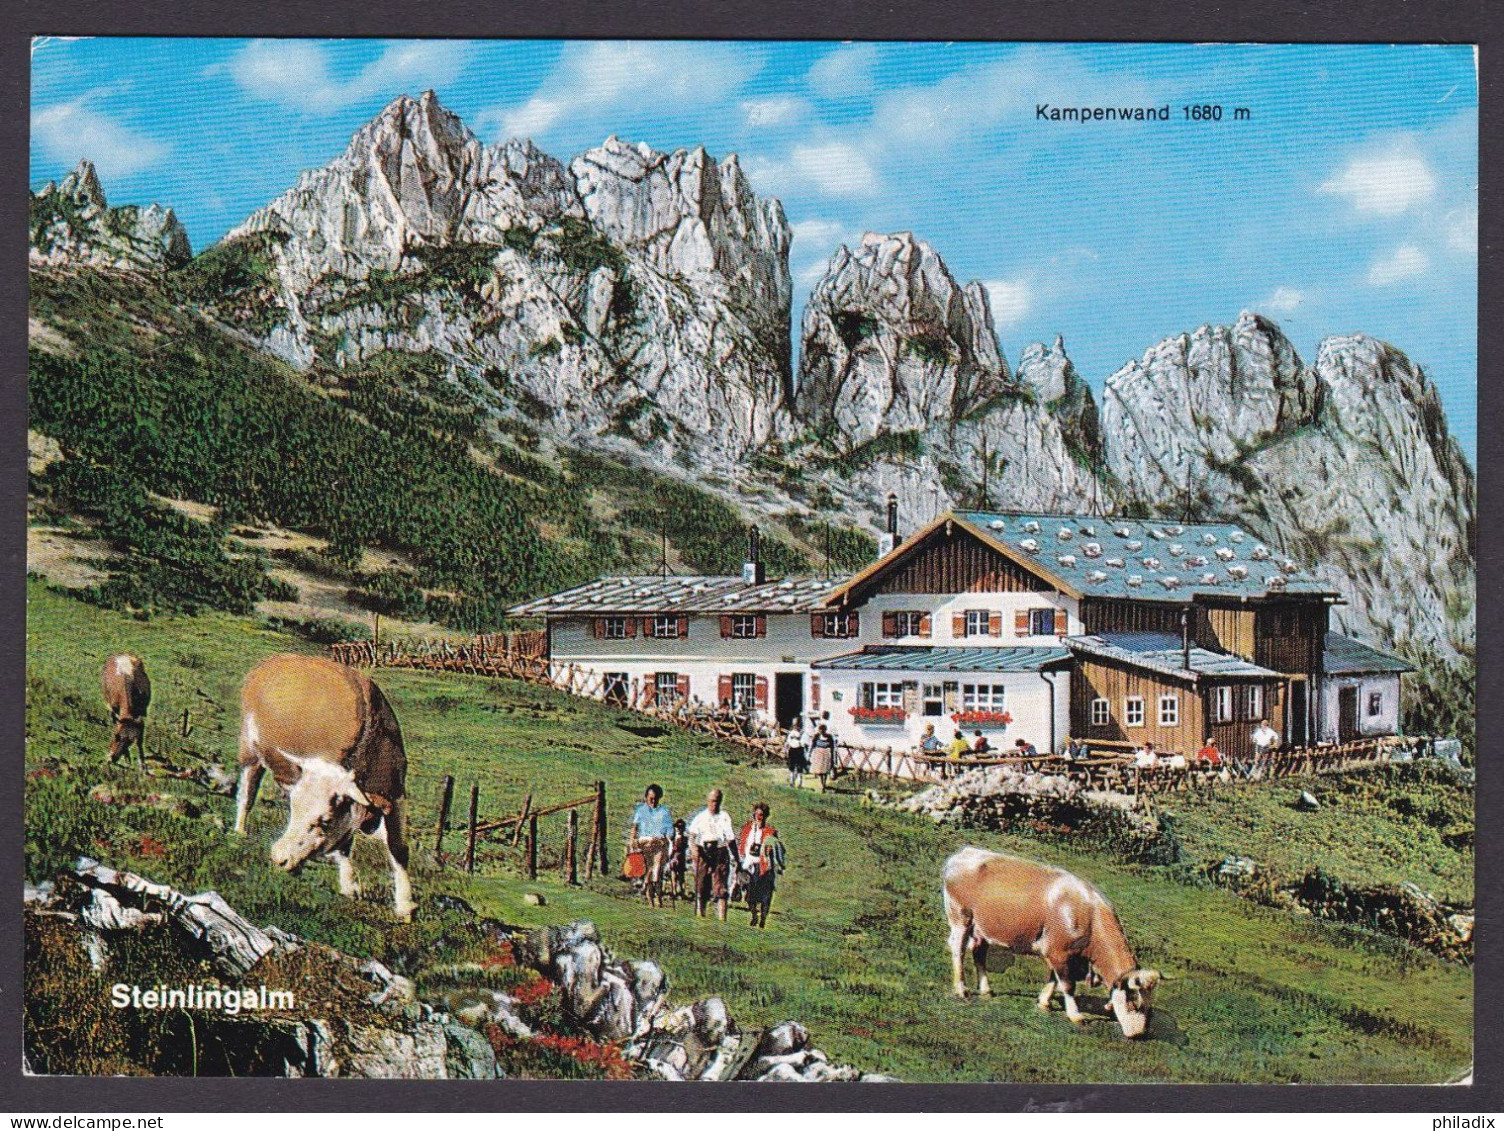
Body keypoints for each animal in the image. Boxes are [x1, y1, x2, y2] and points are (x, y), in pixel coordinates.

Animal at [234, 652, 415, 920]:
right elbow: (344, 846)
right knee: (247, 791)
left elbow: (398, 848)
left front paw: (405, 906)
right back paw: (239, 830)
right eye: (294, 811)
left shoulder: (395, 795)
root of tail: (273, 661)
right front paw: (349, 884)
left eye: (325, 820)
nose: (279, 857)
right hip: (249, 748)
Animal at [938, 842, 1161, 1040]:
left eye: (1150, 1007)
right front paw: (1075, 1015)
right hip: (960, 917)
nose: (1139, 1035)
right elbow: (1068, 984)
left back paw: (986, 990)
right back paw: (961, 989)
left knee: (979, 954)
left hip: (982, 928)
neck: (1090, 916)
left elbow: (1053, 979)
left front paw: (1044, 1002)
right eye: (1133, 1001)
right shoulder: (1059, 952)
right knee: (958, 949)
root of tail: (965, 852)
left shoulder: (1059, 953)